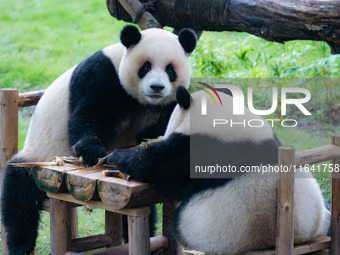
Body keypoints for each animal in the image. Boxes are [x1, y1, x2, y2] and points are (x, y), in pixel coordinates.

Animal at [0, 24, 197, 254]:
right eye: (146, 67)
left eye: (170, 69)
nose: (157, 87)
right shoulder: (103, 75)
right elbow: (90, 113)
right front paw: (91, 151)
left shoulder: (167, 104)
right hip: (38, 157)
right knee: (18, 194)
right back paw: (20, 244)